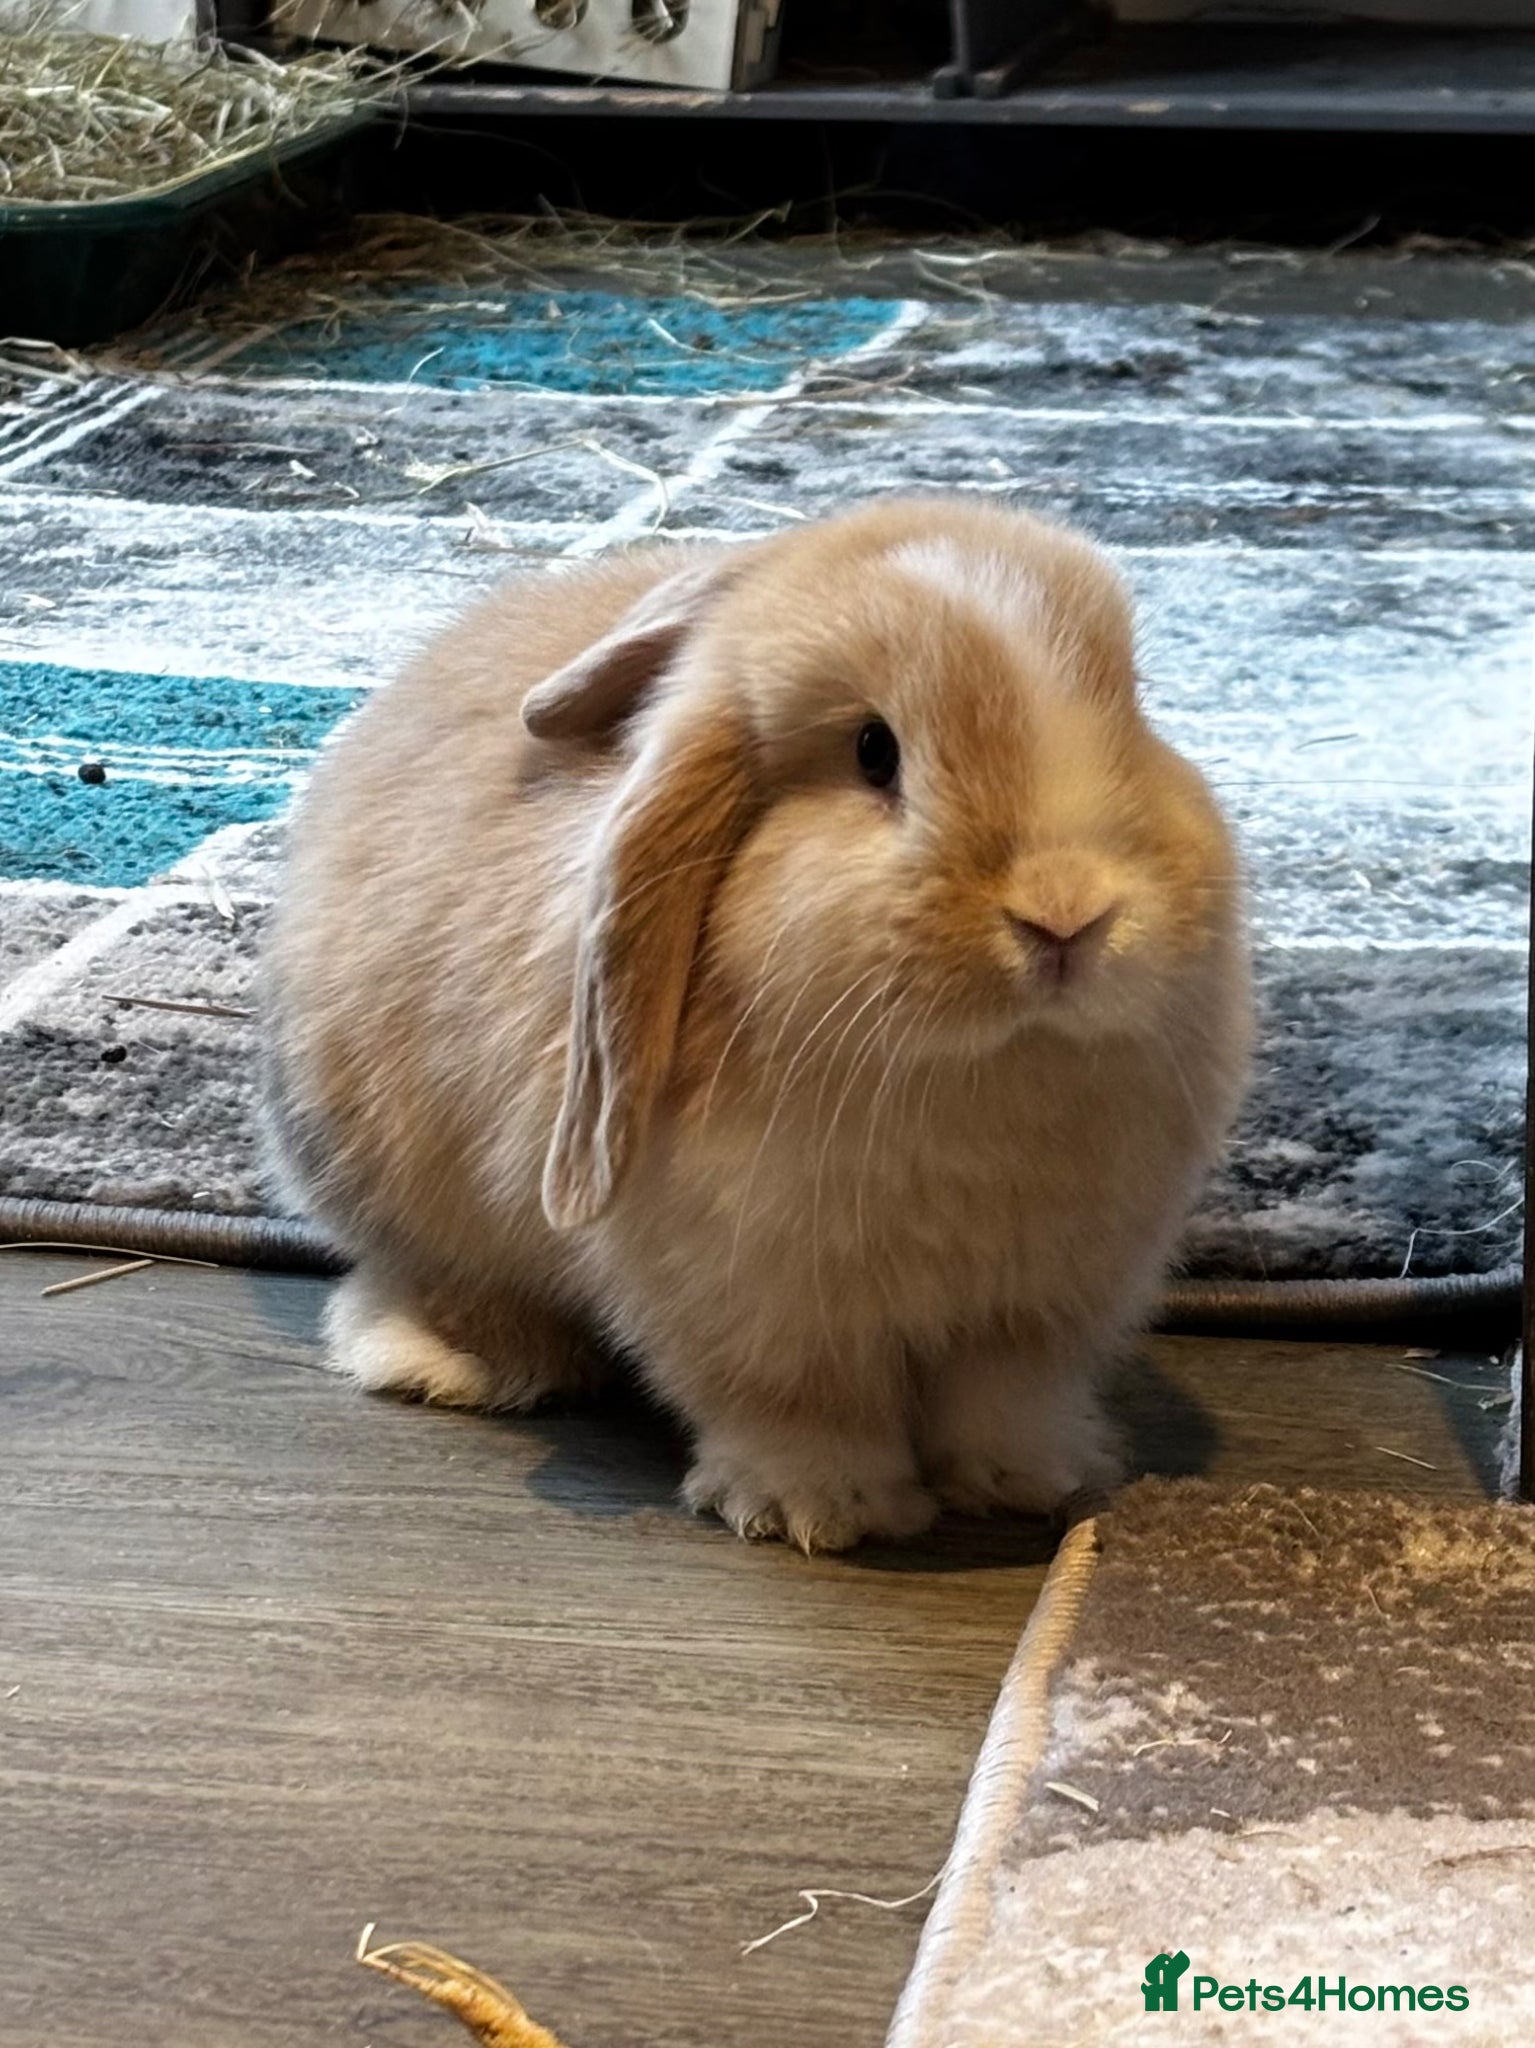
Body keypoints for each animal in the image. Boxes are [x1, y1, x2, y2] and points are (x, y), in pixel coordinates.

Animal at [263, 496, 1252, 1552]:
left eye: (1131, 714)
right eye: (873, 752)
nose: (1067, 913)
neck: (975, 1073)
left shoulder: (1037, 1305)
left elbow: (1004, 1400)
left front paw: (1029, 1480)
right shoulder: (753, 1295)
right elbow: (798, 1404)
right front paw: (822, 1510)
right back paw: (452, 1361)